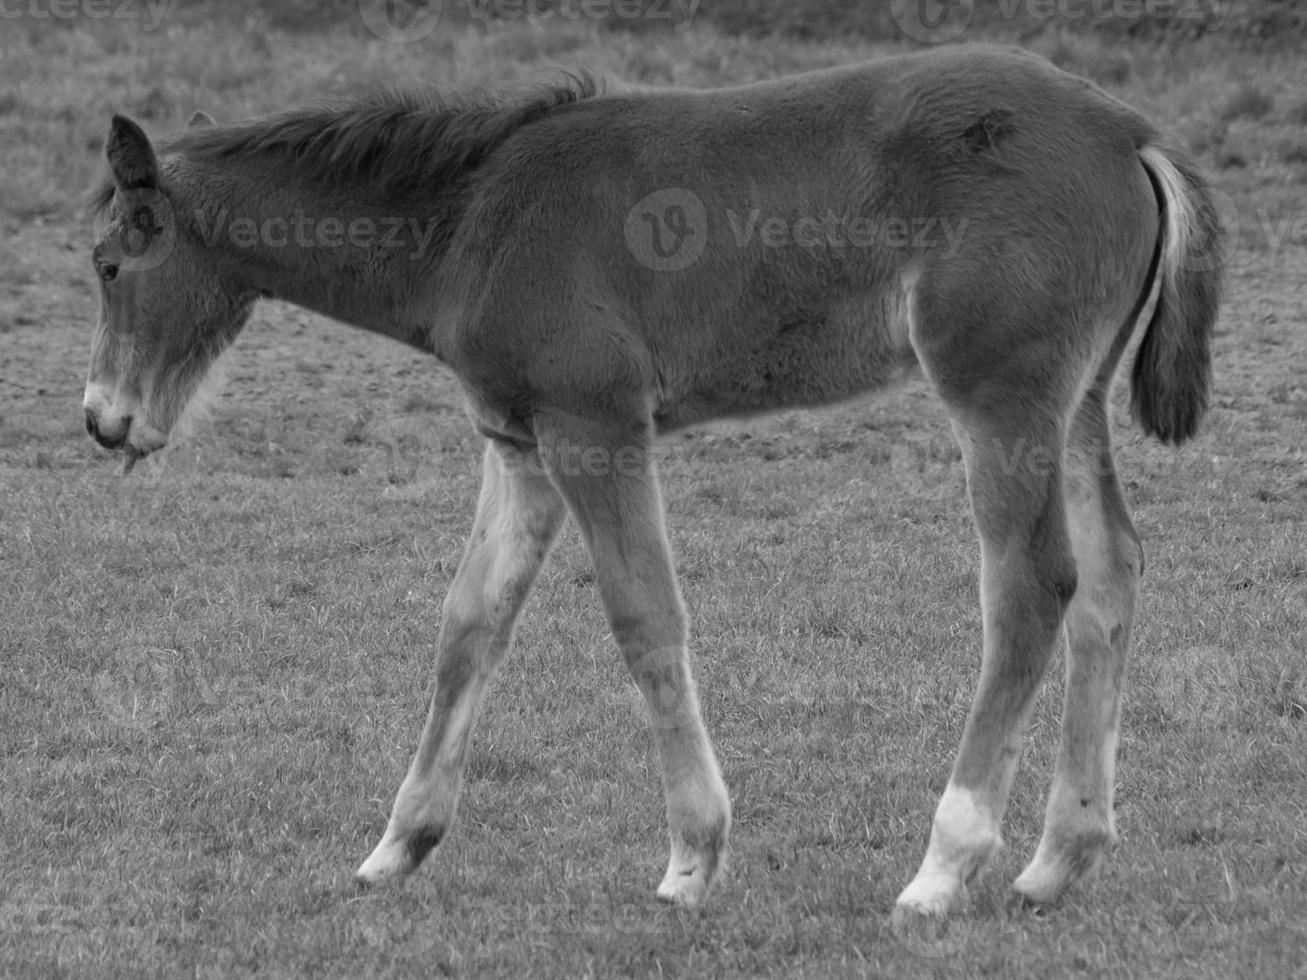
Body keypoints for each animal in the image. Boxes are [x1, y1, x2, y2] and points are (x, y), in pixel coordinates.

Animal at [84, 42, 1223, 925]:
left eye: (106, 263)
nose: (102, 420)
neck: (475, 218)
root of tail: (1127, 130)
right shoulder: (518, 443)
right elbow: (468, 625)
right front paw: (395, 846)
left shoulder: (595, 429)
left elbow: (643, 617)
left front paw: (691, 858)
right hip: (1073, 404)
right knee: (1112, 572)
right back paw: (1055, 860)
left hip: (998, 396)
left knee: (1030, 588)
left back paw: (941, 870)